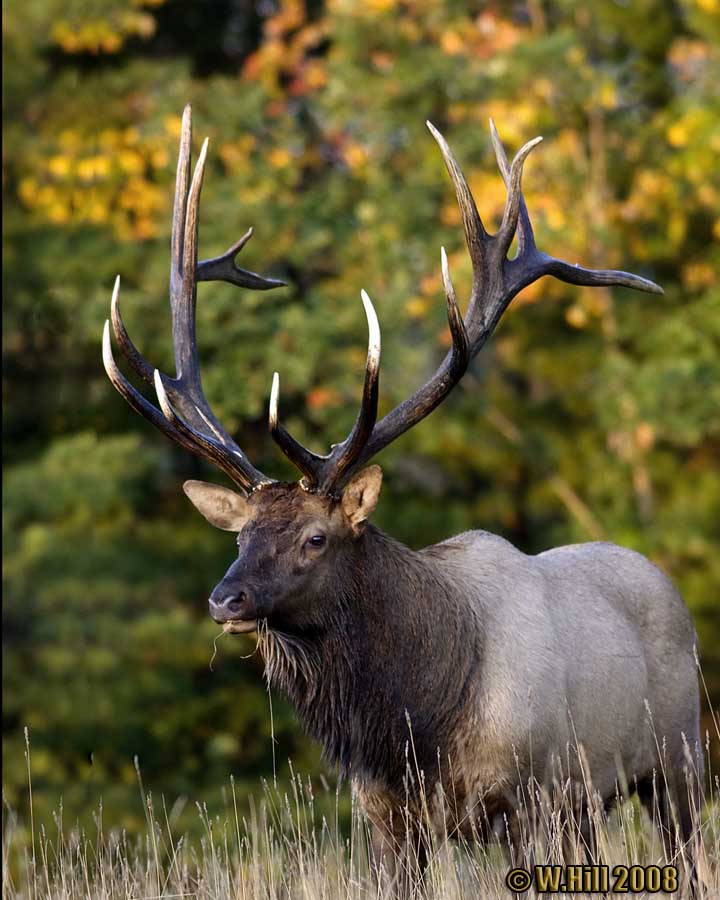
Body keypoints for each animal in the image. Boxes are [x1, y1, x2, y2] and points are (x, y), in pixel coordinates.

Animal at [103, 105, 703, 889]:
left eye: (316, 537)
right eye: (240, 536)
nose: (225, 600)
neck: (414, 725)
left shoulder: (534, 797)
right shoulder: (387, 822)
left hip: (680, 760)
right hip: (596, 806)